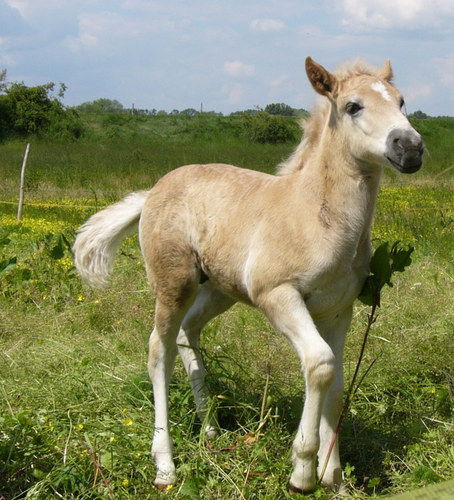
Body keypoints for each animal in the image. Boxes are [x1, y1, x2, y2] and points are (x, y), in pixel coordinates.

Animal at [72, 57, 424, 492]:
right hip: (175, 284)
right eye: (353, 106)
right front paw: (303, 471)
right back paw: (165, 465)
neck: (319, 217)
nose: (410, 147)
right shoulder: (278, 294)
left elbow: (338, 383)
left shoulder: (338, 309)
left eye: (401, 101)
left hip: (219, 289)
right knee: (159, 350)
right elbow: (320, 365)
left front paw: (335, 479)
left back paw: (210, 430)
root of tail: (152, 191)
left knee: (188, 332)